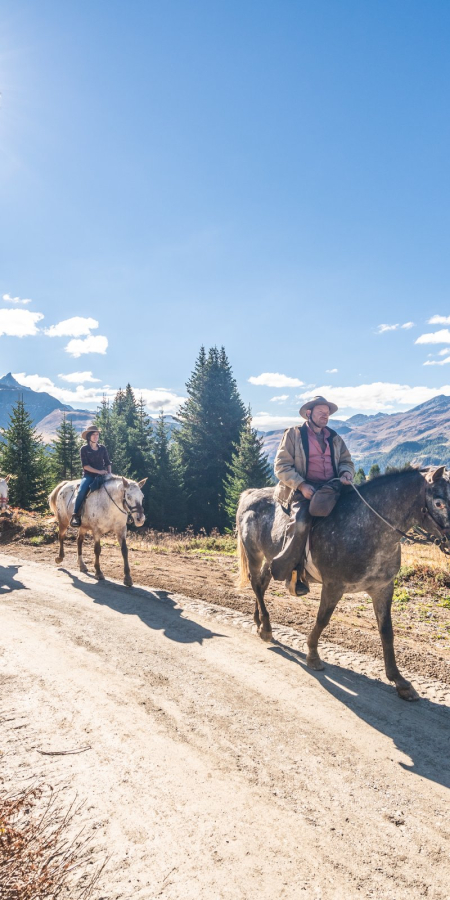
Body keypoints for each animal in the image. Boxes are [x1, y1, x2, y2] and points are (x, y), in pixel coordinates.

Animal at [236, 468, 450, 700]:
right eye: (439, 502)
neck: (367, 528)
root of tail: (250, 493)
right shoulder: (333, 586)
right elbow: (322, 620)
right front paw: (313, 655)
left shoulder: (383, 589)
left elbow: (387, 632)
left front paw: (399, 680)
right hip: (254, 553)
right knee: (256, 584)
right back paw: (266, 628)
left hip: (270, 557)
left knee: (262, 584)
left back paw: (259, 621)